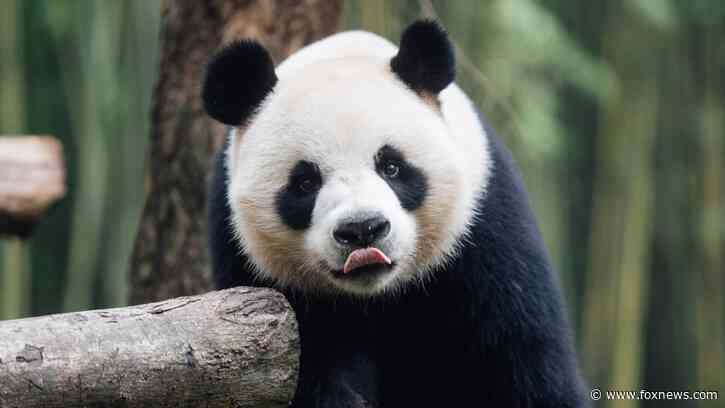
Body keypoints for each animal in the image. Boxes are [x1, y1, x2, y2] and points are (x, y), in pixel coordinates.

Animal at [203, 20, 588, 408]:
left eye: (391, 166)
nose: (362, 230)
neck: (378, 295)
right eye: (305, 182)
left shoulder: (486, 235)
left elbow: (522, 357)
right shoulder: (262, 275)